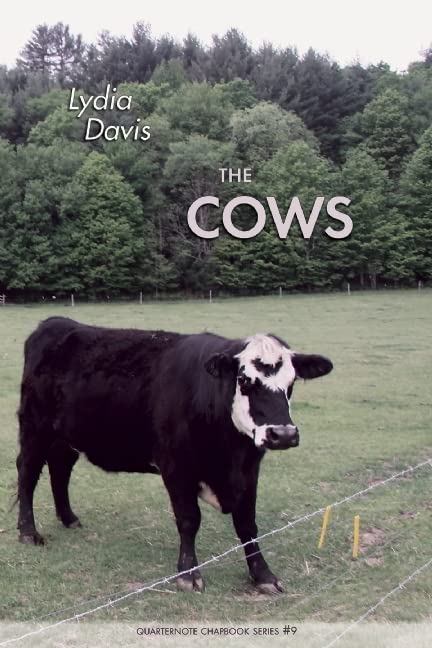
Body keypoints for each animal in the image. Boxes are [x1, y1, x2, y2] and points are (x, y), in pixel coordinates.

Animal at [16, 316, 333, 594]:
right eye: (244, 380)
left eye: (291, 383)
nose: (283, 434)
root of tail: (55, 323)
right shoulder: (176, 466)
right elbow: (189, 520)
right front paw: (188, 574)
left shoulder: (248, 470)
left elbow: (247, 524)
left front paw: (263, 575)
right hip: (35, 426)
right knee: (28, 471)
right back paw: (28, 532)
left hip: (65, 436)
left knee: (60, 468)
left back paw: (69, 517)